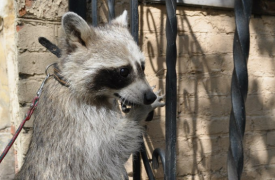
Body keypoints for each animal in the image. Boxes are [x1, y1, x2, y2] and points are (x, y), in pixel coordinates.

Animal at [15, 10, 165, 179]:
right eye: (123, 71)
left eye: (143, 67)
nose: (149, 97)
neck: (69, 82)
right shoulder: (81, 123)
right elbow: (113, 148)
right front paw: (140, 111)